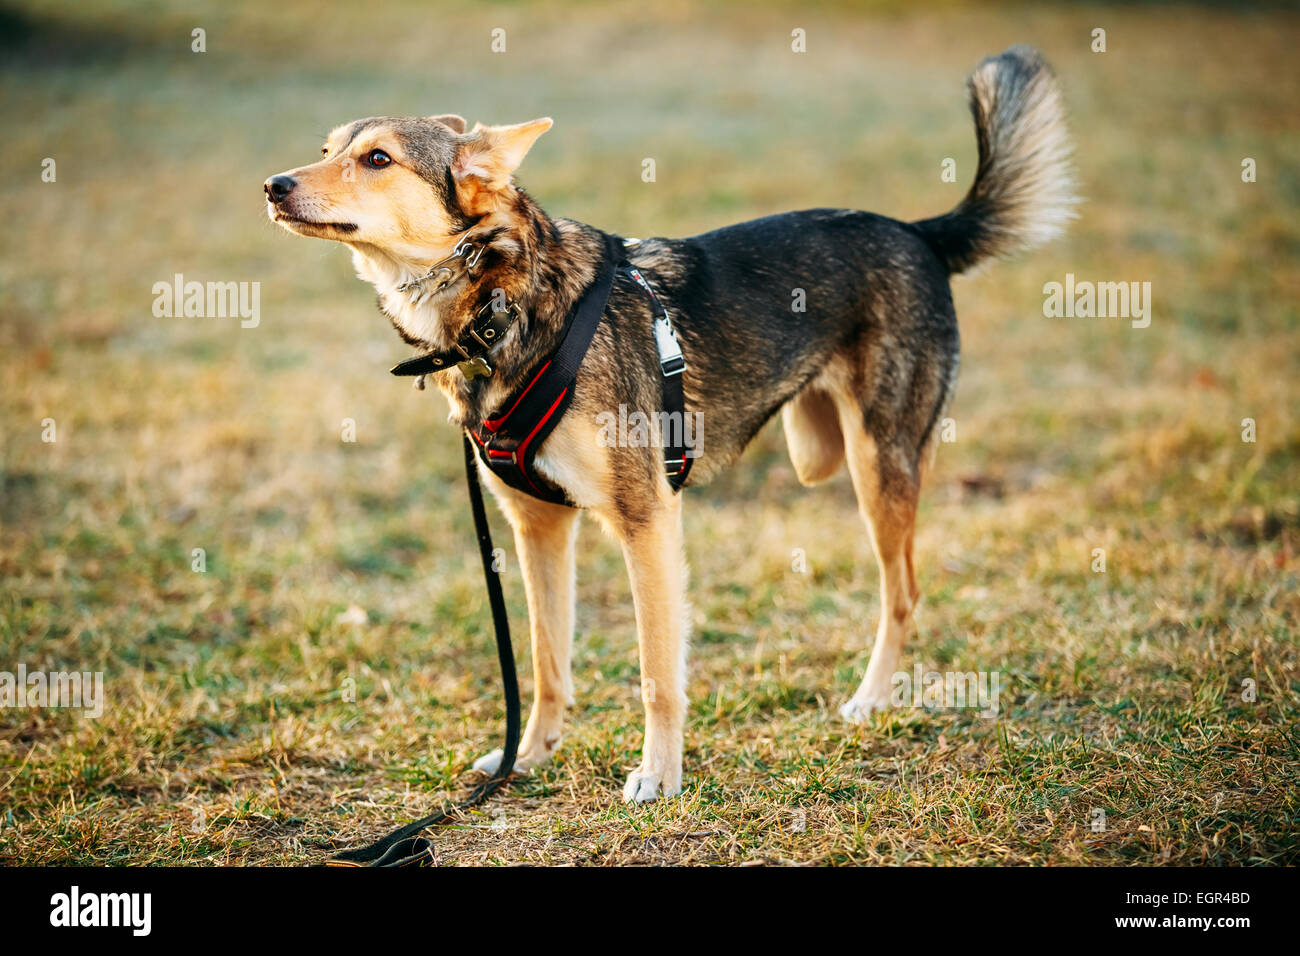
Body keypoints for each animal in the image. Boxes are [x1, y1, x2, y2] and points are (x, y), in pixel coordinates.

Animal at [263, 48, 1076, 806]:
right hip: (820, 451)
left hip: (880, 464)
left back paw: (870, 700)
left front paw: (659, 776)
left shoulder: (646, 519)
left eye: (377, 159)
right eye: (328, 146)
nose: (272, 185)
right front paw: (529, 757)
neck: (500, 304)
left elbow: (658, 670)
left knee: (901, 590)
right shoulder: (538, 527)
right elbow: (547, 662)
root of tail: (918, 233)